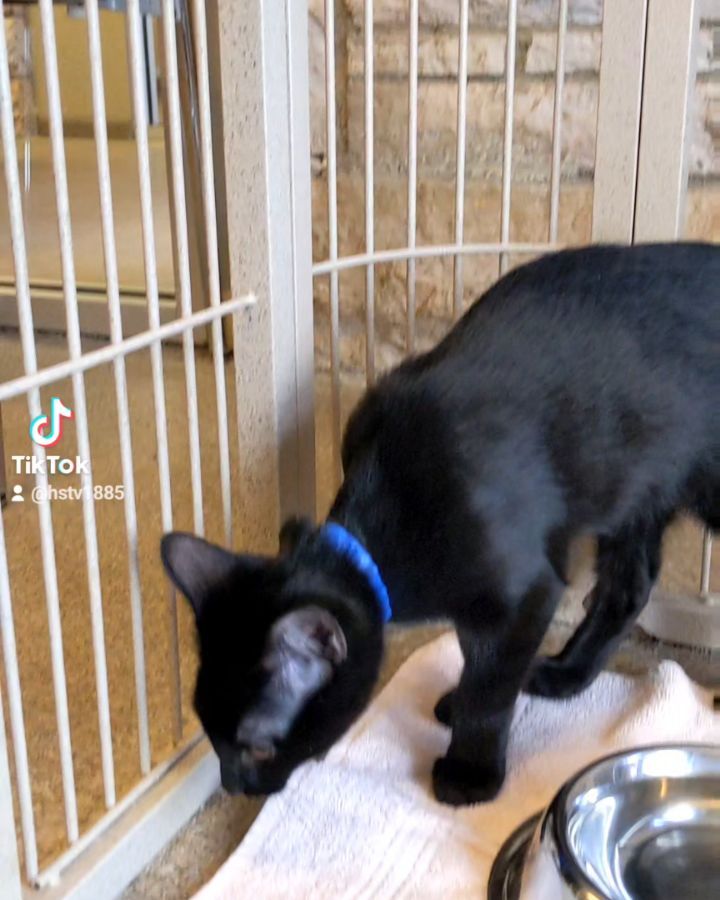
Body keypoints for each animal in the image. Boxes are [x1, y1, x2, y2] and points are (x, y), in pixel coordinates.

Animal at [163, 243, 720, 804]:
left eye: (258, 748)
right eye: (208, 730)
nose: (234, 785)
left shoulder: (525, 593)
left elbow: (489, 688)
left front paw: (470, 772)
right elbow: (478, 663)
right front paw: (464, 707)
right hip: (636, 490)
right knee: (629, 587)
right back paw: (564, 674)